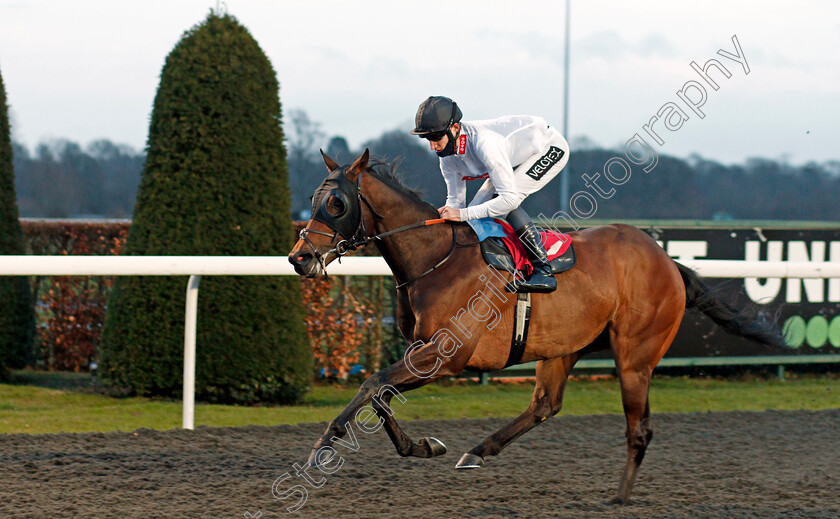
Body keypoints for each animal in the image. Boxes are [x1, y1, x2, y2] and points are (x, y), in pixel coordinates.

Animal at [288, 149, 788, 504]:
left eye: (336, 202)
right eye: (312, 200)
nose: (299, 257)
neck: (437, 259)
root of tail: (668, 261)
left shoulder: (445, 357)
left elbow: (372, 383)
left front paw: (322, 446)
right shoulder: (422, 351)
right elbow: (381, 393)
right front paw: (426, 446)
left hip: (635, 357)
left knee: (638, 429)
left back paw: (620, 497)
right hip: (563, 348)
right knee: (545, 405)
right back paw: (478, 452)